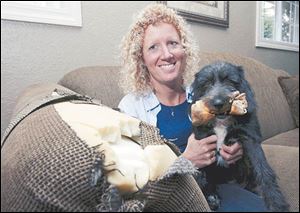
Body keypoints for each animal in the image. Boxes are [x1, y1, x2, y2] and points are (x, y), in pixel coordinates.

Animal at [191, 61, 290, 211]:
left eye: (230, 81)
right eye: (207, 83)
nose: (218, 103)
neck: (222, 121)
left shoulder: (251, 139)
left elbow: (263, 170)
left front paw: (276, 202)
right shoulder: (202, 143)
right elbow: (201, 172)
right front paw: (208, 195)